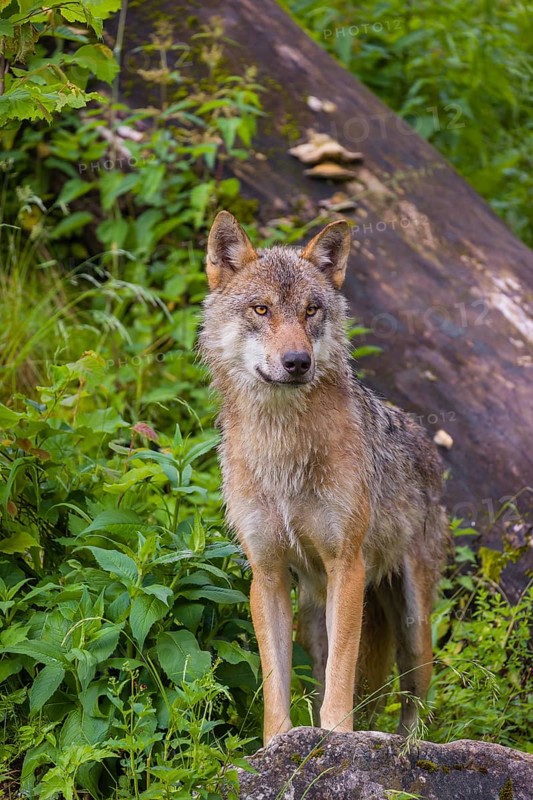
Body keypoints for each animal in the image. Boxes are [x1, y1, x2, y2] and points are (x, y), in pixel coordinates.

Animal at [200, 211, 447, 745]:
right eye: (262, 309)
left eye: (312, 310)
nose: (297, 362)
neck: (283, 450)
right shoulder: (267, 574)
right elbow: (275, 678)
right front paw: (279, 743)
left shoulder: (346, 566)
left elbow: (342, 671)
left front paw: (337, 739)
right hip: (311, 616)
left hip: (413, 623)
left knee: (413, 697)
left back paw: (406, 744)